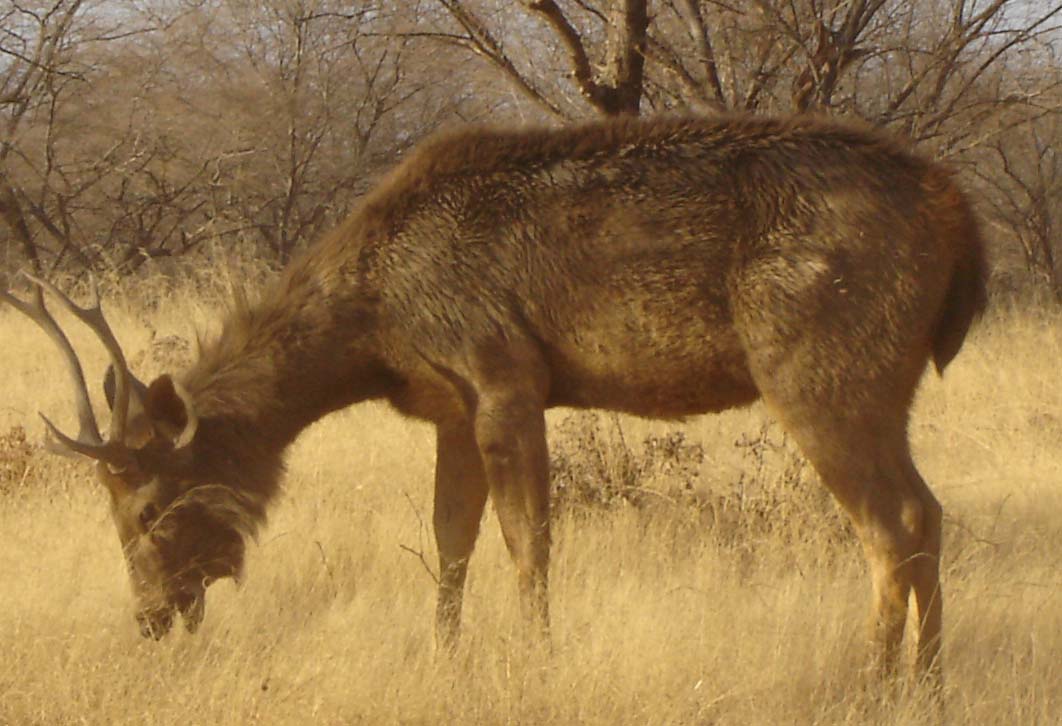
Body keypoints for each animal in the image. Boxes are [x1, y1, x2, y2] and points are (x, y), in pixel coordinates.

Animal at [0, 114, 981, 687]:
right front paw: (445, 658)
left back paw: (872, 681)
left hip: (817, 364)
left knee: (890, 522)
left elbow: (526, 538)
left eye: (150, 507)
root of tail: (962, 218)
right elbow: (450, 540)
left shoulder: (503, 372)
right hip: (883, 385)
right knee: (929, 512)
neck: (372, 327)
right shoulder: (447, 405)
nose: (149, 617)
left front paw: (536, 659)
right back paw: (930, 680)